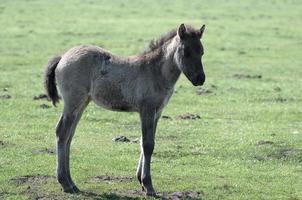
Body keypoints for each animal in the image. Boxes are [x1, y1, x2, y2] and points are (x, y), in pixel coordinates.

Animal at [44, 23, 205, 195]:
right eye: (186, 52)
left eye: (202, 51)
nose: (200, 79)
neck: (155, 71)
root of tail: (62, 57)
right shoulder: (147, 110)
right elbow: (148, 144)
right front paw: (148, 185)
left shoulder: (157, 113)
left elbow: (145, 142)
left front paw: (141, 181)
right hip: (73, 102)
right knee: (62, 132)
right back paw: (65, 183)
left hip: (82, 103)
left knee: (69, 135)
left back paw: (72, 184)